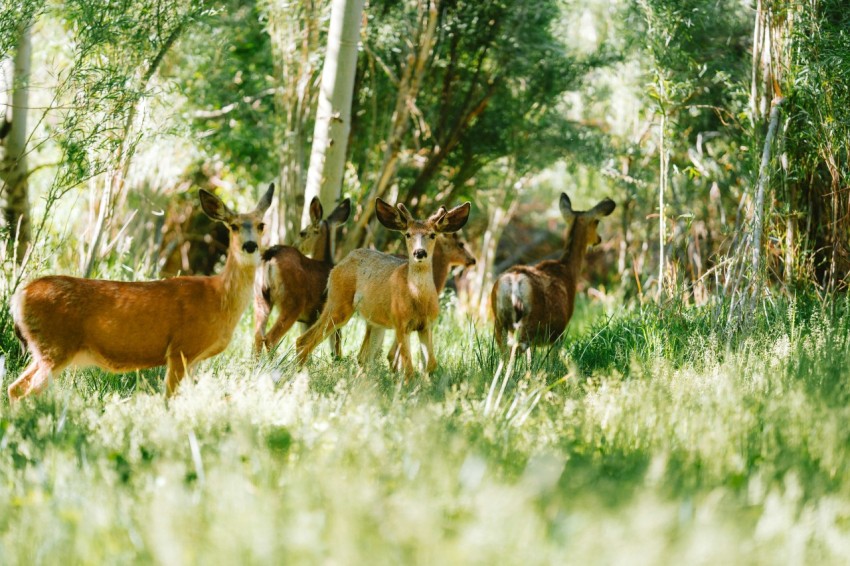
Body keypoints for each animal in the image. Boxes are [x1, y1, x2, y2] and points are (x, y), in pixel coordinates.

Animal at [9, 184, 274, 402]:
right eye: (233, 226)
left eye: (261, 225)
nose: (250, 245)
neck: (218, 298)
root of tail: (18, 297)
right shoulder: (180, 348)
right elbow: (168, 398)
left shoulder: (194, 359)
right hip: (55, 346)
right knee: (24, 390)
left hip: (44, 349)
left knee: (14, 387)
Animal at [250, 195, 350, 356]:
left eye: (302, 233)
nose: (295, 244)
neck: (326, 262)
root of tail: (272, 254)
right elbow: (336, 348)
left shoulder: (307, 320)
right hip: (293, 303)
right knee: (270, 338)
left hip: (261, 296)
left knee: (258, 336)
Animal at [486, 195, 612, 356]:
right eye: (596, 222)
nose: (599, 239)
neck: (569, 269)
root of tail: (513, 284)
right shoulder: (559, 333)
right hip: (530, 324)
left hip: (499, 322)